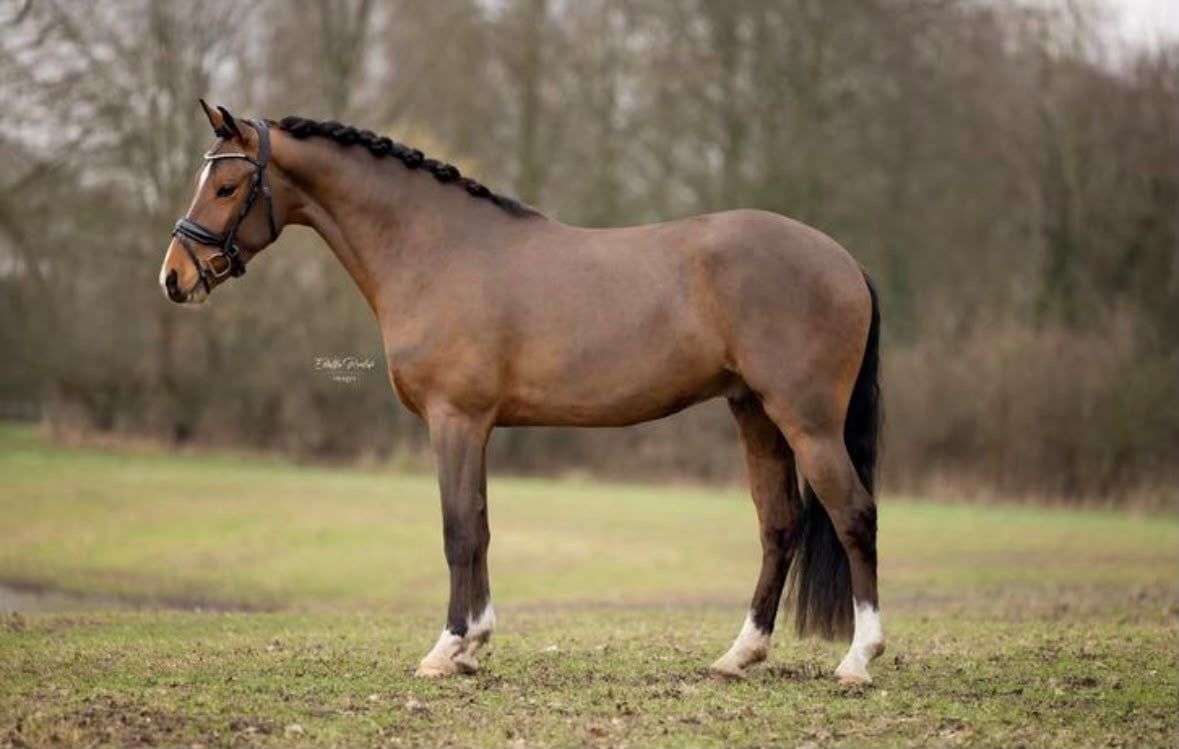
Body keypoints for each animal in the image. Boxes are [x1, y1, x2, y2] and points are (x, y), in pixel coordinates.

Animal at [159, 100, 885, 685]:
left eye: (226, 185)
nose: (174, 278)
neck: (438, 250)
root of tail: (844, 259)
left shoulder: (455, 419)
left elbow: (458, 529)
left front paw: (447, 648)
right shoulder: (475, 426)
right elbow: (479, 526)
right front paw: (473, 646)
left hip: (807, 421)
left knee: (853, 514)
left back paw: (857, 660)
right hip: (754, 413)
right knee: (778, 525)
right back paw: (739, 656)